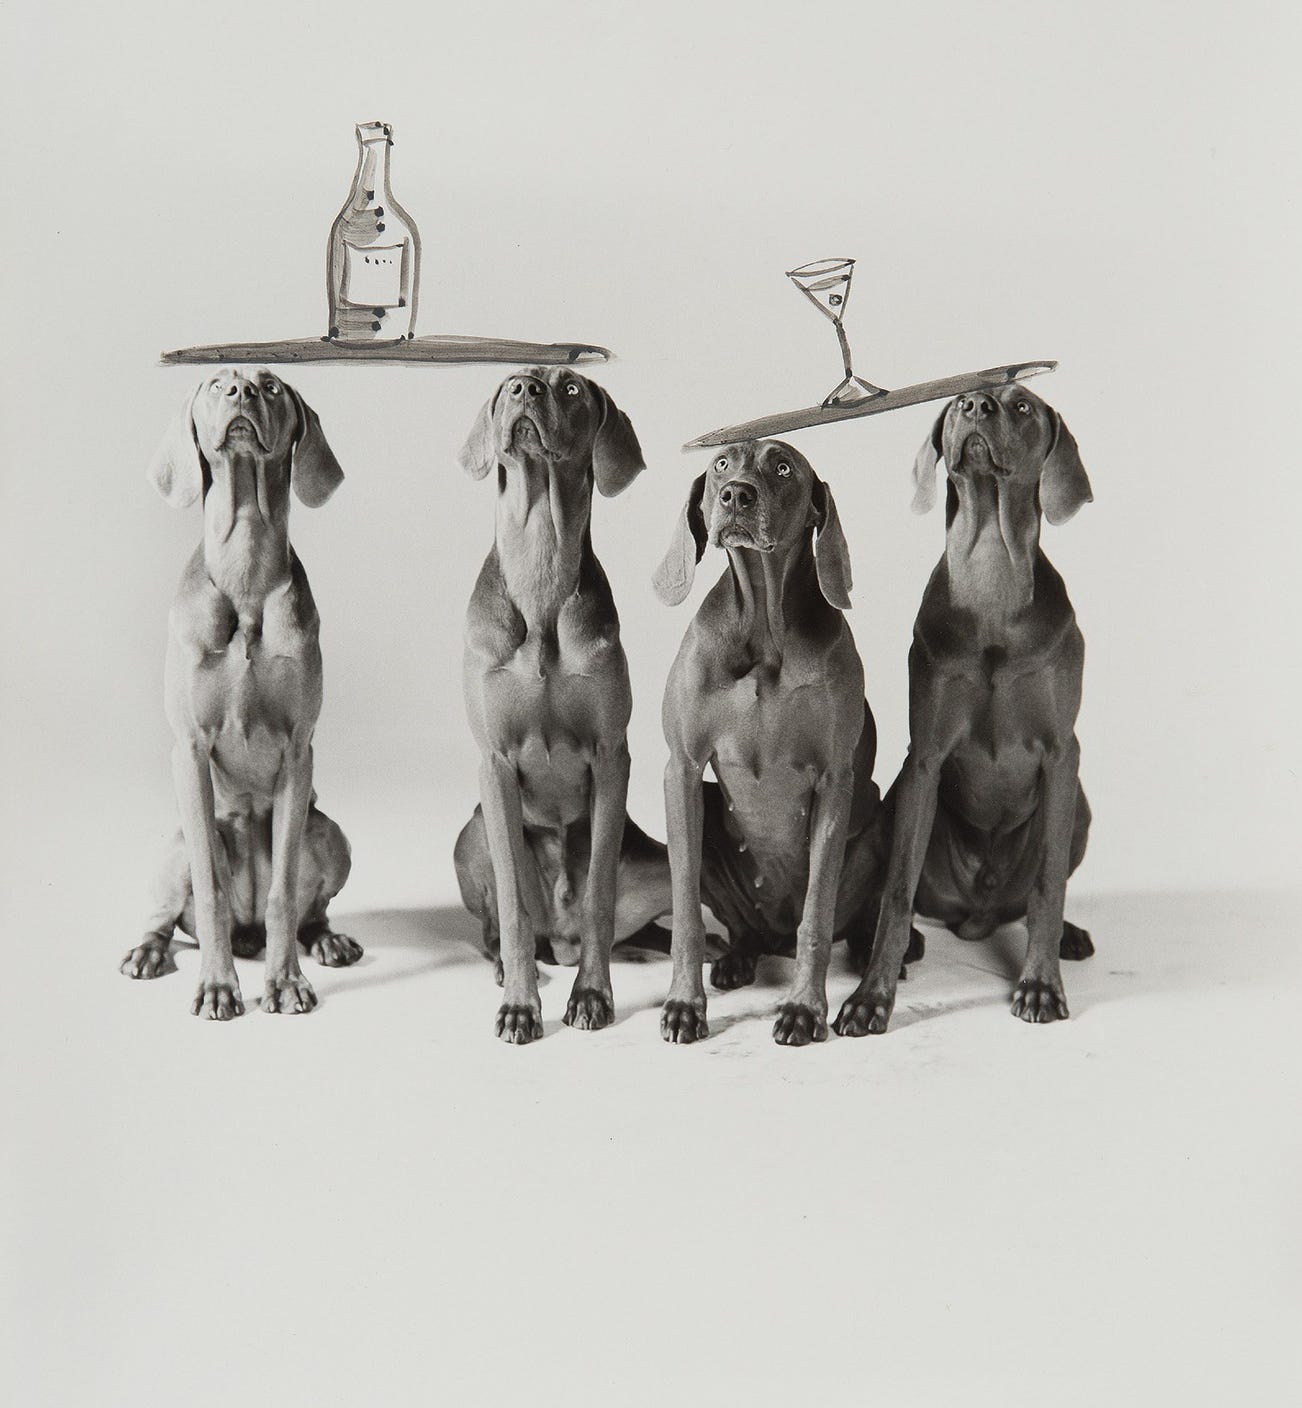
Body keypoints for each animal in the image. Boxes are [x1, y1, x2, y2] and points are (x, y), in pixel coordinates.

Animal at [120, 368, 360, 1017]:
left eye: (273, 386)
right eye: (213, 383)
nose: (243, 393)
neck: (246, 568)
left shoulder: (299, 750)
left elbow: (283, 893)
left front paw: (285, 983)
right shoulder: (189, 748)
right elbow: (208, 891)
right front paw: (218, 987)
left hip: (328, 831)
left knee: (304, 907)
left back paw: (326, 940)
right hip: (176, 841)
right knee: (170, 913)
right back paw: (148, 951)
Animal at [453, 367, 672, 1044]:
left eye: (573, 388)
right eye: (506, 387)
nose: (526, 387)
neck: (541, 567)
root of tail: (563, 935)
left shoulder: (611, 756)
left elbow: (599, 889)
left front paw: (594, 996)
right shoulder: (493, 762)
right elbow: (513, 912)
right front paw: (521, 1007)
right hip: (471, 832)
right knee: (498, 924)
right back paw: (507, 965)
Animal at [652, 438, 920, 1045]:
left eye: (782, 468)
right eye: (720, 465)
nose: (736, 495)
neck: (764, 629)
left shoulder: (835, 781)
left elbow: (816, 916)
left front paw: (804, 1008)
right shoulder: (682, 769)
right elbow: (684, 917)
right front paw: (685, 1005)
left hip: (886, 818)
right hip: (708, 812)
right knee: (743, 930)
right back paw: (736, 959)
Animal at [835, 382, 1094, 1036]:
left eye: (1023, 405)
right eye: (958, 403)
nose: (977, 407)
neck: (992, 582)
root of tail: (977, 911)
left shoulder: (1062, 754)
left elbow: (1048, 885)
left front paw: (1040, 985)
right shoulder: (924, 758)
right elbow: (897, 892)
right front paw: (870, 998)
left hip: (1080, 806)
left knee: (1037, 891)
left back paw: (1067, 936)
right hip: (889, 806)